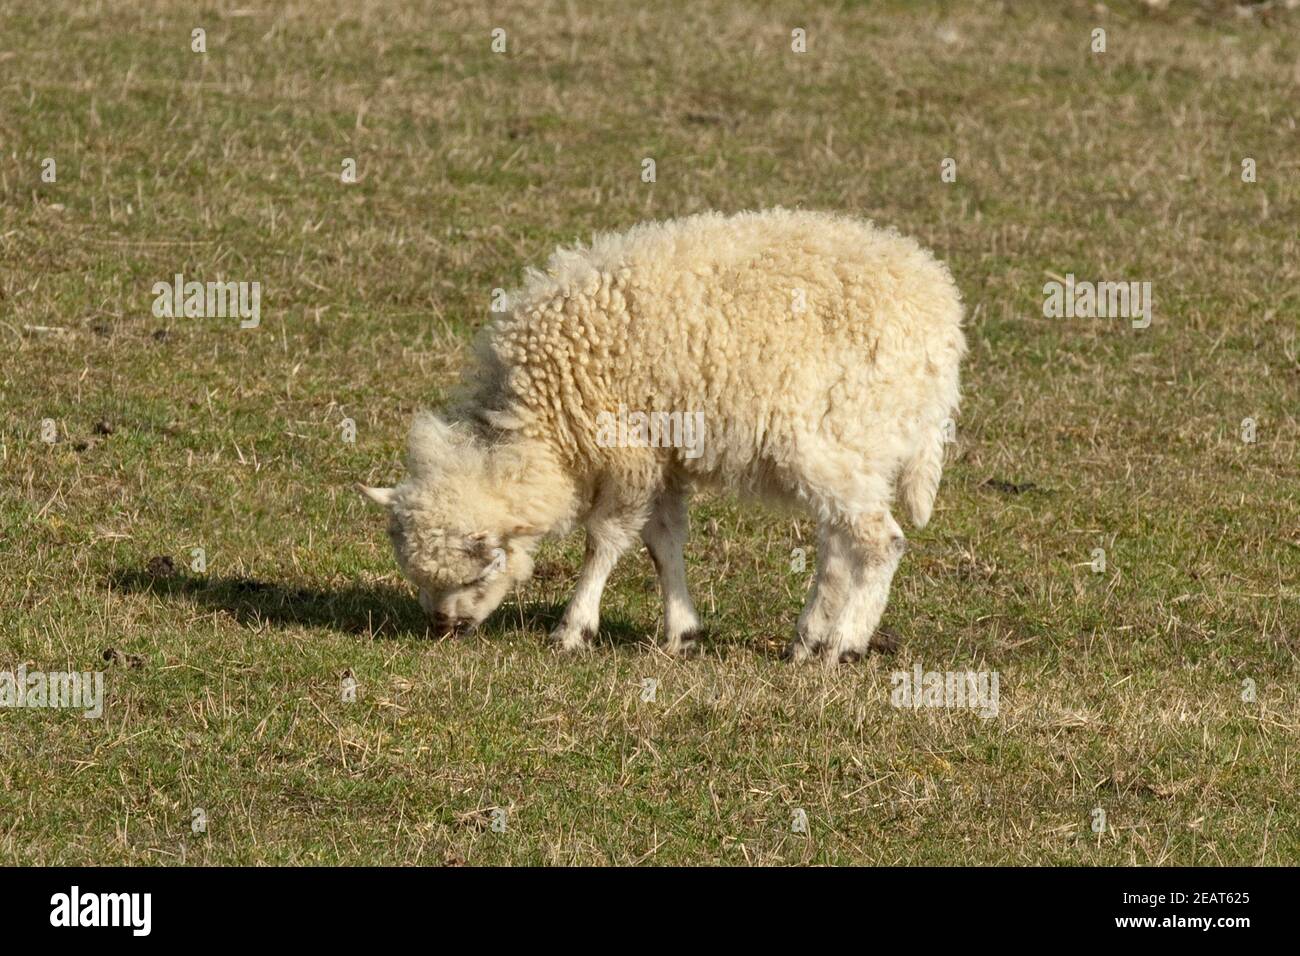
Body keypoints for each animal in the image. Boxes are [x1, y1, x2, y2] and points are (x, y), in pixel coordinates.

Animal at [358, 208, 967, 665]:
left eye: (483, 566)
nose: (445, 627)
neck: (540, 418)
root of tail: (941, 315)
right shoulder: (662, 452)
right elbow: (663, 541)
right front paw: (683, 632)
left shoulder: (628, 449)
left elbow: (604, 539)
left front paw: (575, 628)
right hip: (854, 448)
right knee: (840, 541)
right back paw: (808, 638)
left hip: (835, 436)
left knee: (880, 540)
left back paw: (845, 642)